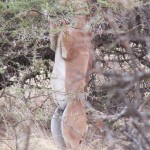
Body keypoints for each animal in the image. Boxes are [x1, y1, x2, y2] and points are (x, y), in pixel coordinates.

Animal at [50, 1, 95, 150]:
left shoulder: (68, 50)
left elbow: (65, 31)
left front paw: (63, 22)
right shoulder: (54, 44)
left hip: (69, 136)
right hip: (57, 126)